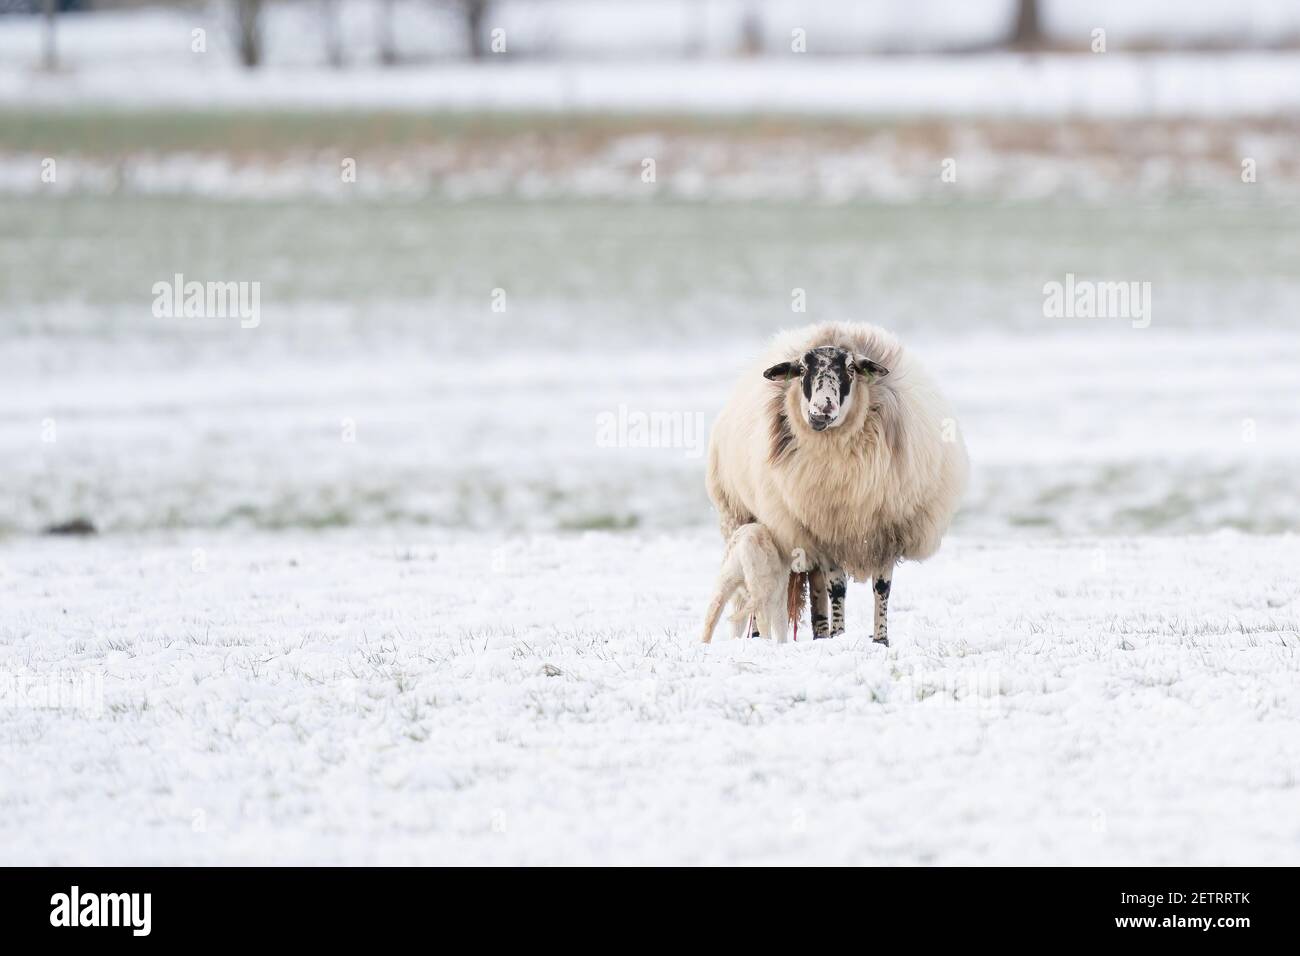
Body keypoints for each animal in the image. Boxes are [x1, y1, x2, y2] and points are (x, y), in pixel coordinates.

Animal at [706, 322, 968, 645]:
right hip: (743, 518)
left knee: (815, 585)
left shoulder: (885, 531)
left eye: (852, 369)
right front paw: (840, 633)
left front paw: (880, 639)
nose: (821, 411)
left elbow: (882, 587)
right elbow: (838, 587)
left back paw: (821, 633)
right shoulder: (827, 531)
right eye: (801, 369)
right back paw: (763, 636)